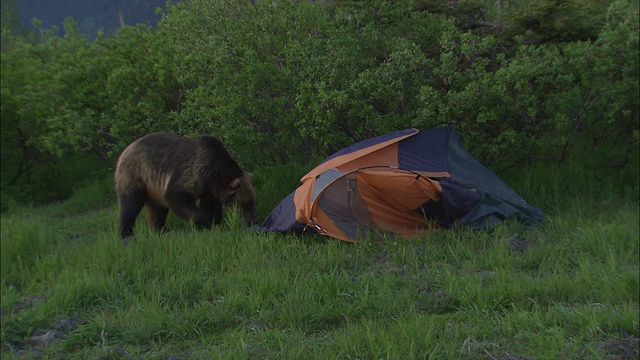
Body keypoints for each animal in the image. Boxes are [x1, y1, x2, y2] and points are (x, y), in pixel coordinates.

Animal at [114, 131, 256, 240]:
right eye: (245, 205)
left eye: (253, 202)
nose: (252, 221)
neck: (212, 172)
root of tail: (127, 148)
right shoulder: (192, 171)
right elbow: (177, 197)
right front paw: (206, 221)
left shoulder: (208, 188)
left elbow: (210, 205)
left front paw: (214, 223)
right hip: (136, 174)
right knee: (130, 204)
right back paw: (126, 234)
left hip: (153, 188)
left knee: (157, 210)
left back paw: (158, 230)